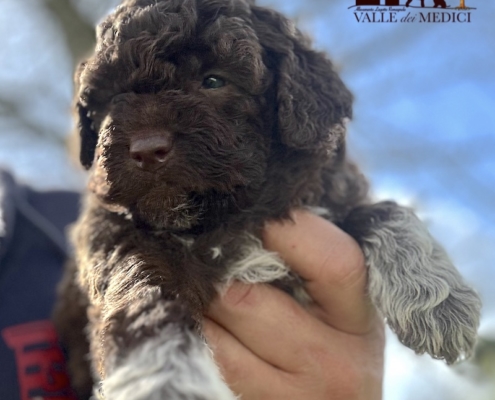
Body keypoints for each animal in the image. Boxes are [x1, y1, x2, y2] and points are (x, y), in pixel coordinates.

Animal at [53, 0, 480, 396]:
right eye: (110, 98)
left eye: (213, 80)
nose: (146, 149)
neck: (223, 216)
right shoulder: (114, 239)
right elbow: (147, 305)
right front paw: (167, 384)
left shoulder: (323, 194)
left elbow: (379, 210)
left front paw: (437, 299)